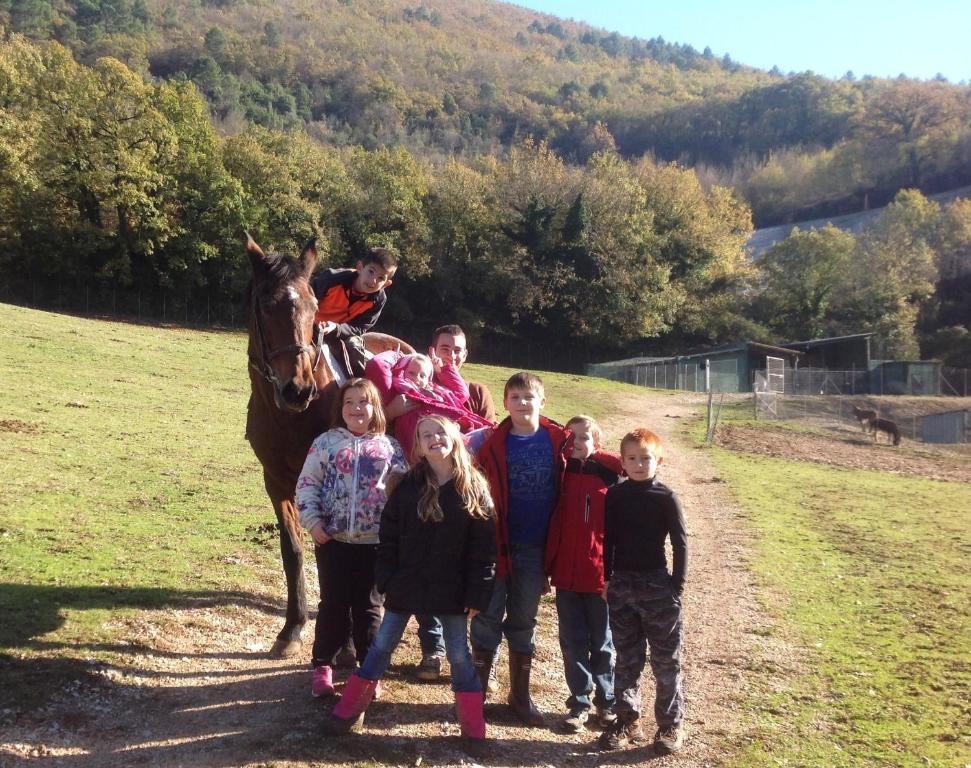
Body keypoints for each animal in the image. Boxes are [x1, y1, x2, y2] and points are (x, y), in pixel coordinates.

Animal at [245, 232, 412, 656]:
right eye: (267, 305)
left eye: (313, 306)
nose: (297, 388)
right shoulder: (277, 482)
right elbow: (294, 550)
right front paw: (293, 627)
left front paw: (347, 644)